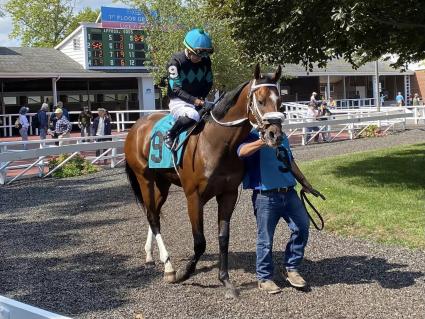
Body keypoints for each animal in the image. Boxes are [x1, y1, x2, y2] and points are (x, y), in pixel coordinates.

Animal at [124, 63, 284, 298]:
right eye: (261, 100)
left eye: (280, 101)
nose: (275, 135)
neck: (217, 143)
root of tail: (136, 126)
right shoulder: (194, 197)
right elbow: (200, 242)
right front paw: (185, 273)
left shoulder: (228, 194)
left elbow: (223, 238)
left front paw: (225, 280)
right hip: (145, 179)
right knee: (152, 216)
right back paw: (169, 267)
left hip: (162, 184)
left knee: (152, 214)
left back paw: (150, 255)